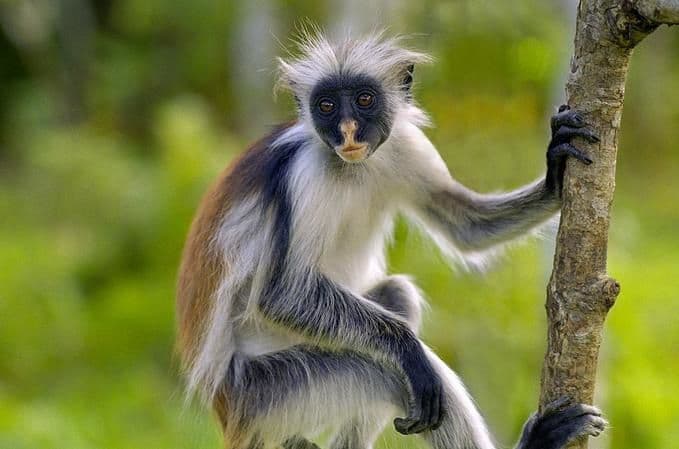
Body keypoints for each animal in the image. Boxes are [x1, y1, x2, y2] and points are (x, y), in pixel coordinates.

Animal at [176, 32, 605, 449]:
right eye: (326, 106)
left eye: (364, 99)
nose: (348, 130)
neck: (354, 167)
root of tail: (224, 410)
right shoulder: (304, 173)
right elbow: (282, 294)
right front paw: (408, 349)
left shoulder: (404, 144)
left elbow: (465, 227)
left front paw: (555, 174)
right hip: (264, 395)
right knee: (387, 373)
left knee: (399, 297)